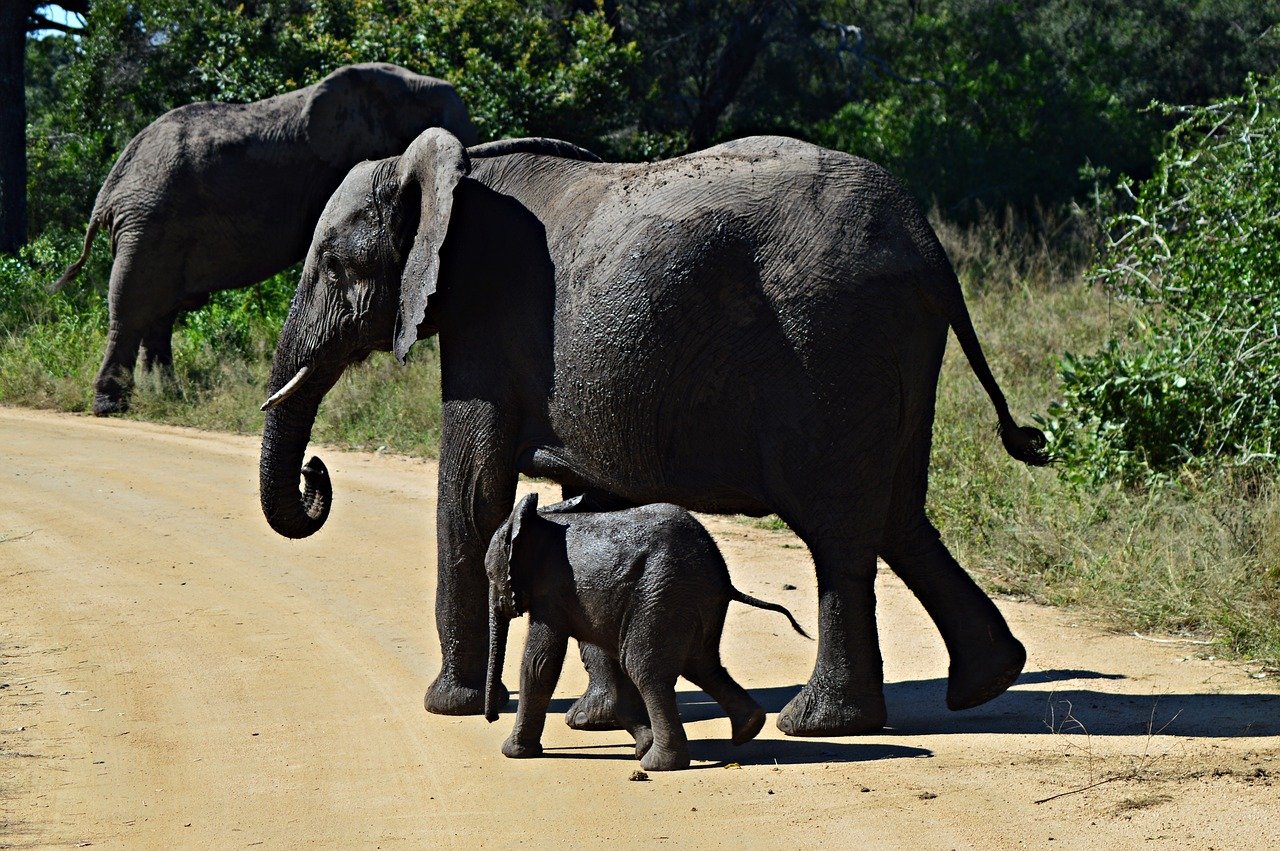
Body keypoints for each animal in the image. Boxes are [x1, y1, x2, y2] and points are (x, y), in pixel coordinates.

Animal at [52, 62, 478, 414]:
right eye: (437, 117)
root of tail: (110, 187)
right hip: (148, 223)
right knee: (132, 306)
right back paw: (111, 406)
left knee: (161, 313)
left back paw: (168, 397)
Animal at [257, 126, 1049, 737]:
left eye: (336, 266)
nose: (315, 473)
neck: (449, 166)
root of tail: (927, 243)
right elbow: (588, 504)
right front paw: (596, 721)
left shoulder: (486, 323)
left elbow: (473, 495)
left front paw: (447, 707)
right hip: (890, 341)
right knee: (899, 515)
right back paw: (986, 681)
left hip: (834, 337)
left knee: (841, 529)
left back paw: (819, 723)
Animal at [483, 491, 803, 767]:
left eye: (488, 573)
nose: (491, 718)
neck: (538, 520)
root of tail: (722, 575)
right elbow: (603, 653)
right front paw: (641, 741)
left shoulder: (550, 594)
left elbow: (539, 664)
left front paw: (513, 752)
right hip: (691, 600)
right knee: (702, 665)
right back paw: (748, 728)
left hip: (663, 593)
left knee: (645, 670)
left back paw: (658, 765)